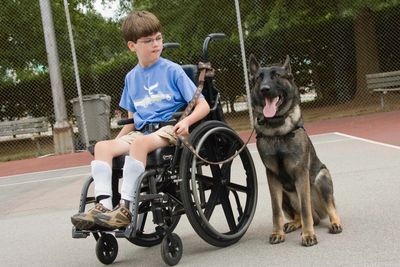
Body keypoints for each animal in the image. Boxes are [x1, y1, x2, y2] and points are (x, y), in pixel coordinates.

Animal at [248, 54, 342, 247]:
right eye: (259, 77)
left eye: (276, 75)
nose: (264, 89)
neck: (277, 128)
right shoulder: (272, 177)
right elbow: (275, 211)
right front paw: (277, 233)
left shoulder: (301, 174)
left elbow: (305, 208)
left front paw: (308, 235)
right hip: (285, 195)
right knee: (299, 215)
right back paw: (293, 224)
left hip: (322, 178)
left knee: (328, 208)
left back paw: (334, 223)